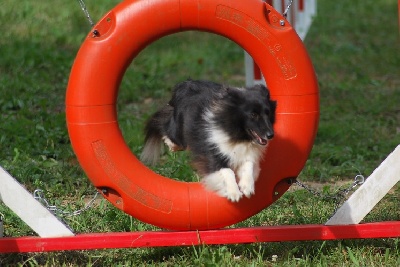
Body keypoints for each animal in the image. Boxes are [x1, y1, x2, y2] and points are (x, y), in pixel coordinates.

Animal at [142, 79, 276, 203]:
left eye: (268, 113)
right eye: (253, 114)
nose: (270, 135)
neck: (235, 134)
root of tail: (186, 83)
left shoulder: (243, 152)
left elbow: (248, 164)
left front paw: (247, 187)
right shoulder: (213, 151)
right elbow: (226, 171)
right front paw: (233, 193)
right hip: (178, 129)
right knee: (166, 127)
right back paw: (172, 145)